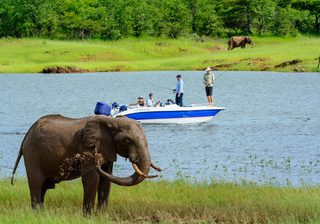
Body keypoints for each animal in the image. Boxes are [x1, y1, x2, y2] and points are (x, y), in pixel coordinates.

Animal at [11, 114, 161, 214]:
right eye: (127, 140)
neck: (112, 121)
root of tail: (26, 136)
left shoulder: (107, 149)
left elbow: (106, 180)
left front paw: (102, 215)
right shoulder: (87, 148)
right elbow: (92, 179)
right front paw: (88, 216)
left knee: (44, 187)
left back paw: (42, 214)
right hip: (32, 154)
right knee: (36, 183)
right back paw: (37, 213)